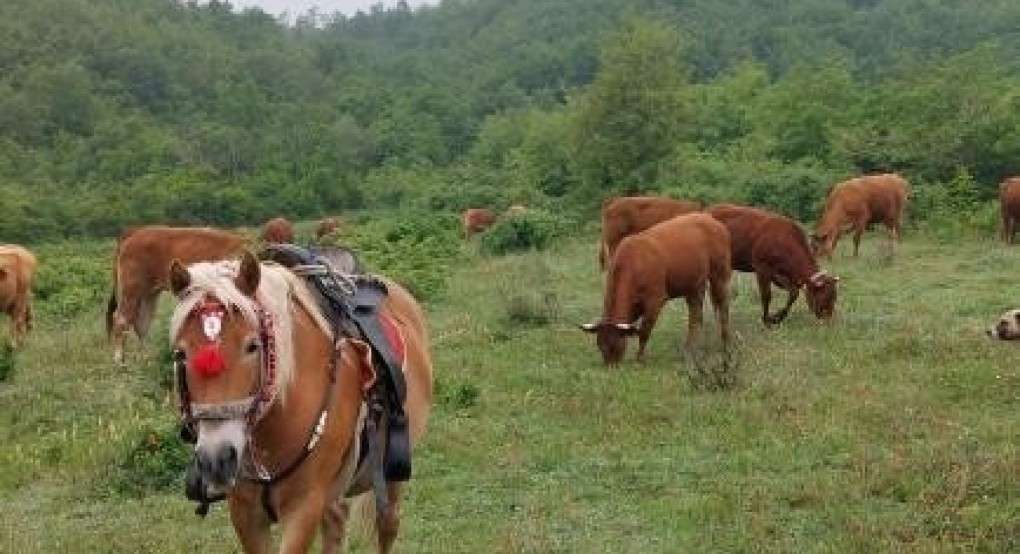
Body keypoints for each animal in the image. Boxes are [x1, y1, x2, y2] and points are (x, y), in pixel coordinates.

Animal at [106, 223, 246, 367]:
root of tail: (138, 231)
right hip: (132, 289)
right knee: (121, 320)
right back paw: (119, 361)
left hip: (148, 294)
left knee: (141, 322)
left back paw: (146, 360)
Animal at [166, 253, 434, 554]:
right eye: (180, 353)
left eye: (252, 346)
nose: (217, 458)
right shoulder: (245, 512)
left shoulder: (304, 507)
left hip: (391, 474)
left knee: (387, 524)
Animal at [579, 214, 730, 367]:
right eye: (599, 344)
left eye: (616, 344)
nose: (610, 367)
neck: (634, 264)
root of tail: (709, 218)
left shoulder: (655, 301)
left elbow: (644, 331)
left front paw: (639, 359)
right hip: (695, 285)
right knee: (696, 316)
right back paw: (691, 348)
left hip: (720, 275)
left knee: (723, 307)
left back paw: (725, 343)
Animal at [705, 204, 840, 324]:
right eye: (824, 296)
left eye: (834, 297)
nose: (829, 321)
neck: (783, 240)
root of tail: (709, 210)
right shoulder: (762, 268)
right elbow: (766, 295)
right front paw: (766, 320)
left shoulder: (779, 273)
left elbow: (794, 292)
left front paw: (778, 317)